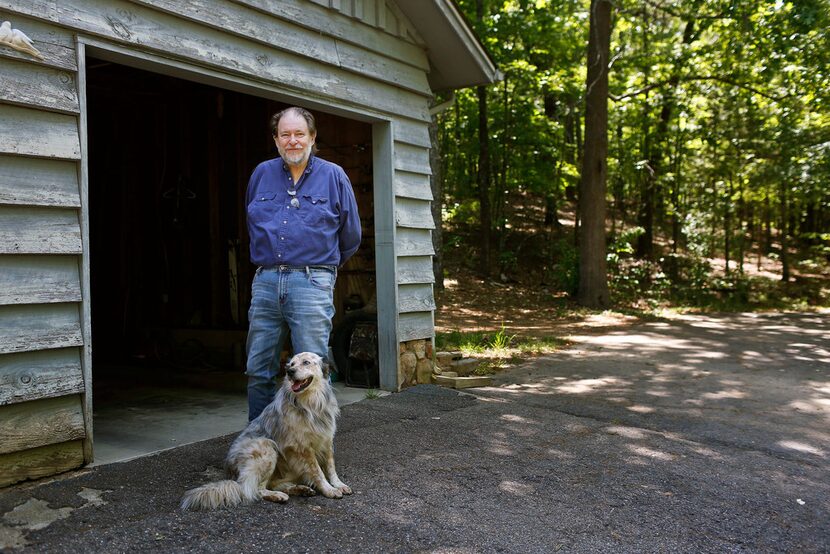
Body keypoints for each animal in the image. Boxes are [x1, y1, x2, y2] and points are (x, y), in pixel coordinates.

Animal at [182, 352, 352, 506]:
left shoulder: (327, 441)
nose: (290, 372)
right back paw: (278, 495)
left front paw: (338, 484)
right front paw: (329, 489)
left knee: (273, 483)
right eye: (291, 364)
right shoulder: (303, 448)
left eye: (306, 362)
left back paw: (300, 489)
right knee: (253, 490)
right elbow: (317, 471)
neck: (310, 403)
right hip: (266, 447)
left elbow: (330, 467)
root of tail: (231, 474)